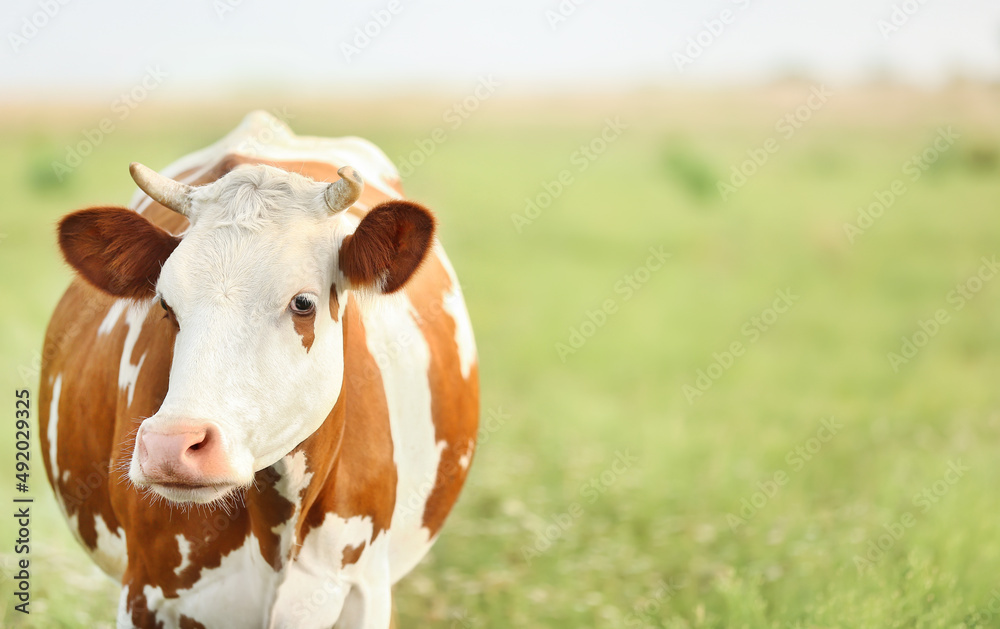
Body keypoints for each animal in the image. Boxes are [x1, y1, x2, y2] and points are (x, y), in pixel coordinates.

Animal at [37, 110, 478, 624]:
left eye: (303, 302)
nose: (170, 447)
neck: (277, 529)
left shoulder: (365, 591)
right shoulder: (141, 590)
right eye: (165, 304)